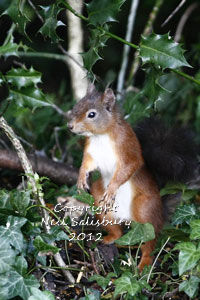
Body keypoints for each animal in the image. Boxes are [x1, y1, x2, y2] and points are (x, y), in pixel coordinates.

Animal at [67, 85, 197, 272]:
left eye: (92, 114)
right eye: (77, 105)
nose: (70, 126)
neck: (101, 135)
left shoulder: (127, 148)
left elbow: (128, 168)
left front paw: (112, 188)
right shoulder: (91, 153)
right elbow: (86, 165)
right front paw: (81, 179)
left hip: (145, 210)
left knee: (150, 242)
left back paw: (144, 263)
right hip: (101, 204)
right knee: (118, 231)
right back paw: (110, 238)